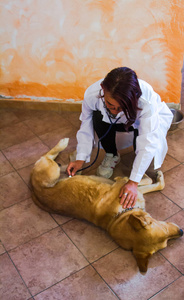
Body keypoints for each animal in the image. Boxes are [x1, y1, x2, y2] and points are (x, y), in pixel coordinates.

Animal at [30, 138, 183, 272]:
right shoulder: (123, 184)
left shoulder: (133, 194)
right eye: (164, 230)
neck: (119, 217)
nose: (181, 232)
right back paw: (64, 145)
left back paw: (76, 158)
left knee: (70, 166)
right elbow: (142, 180)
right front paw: (143, 172)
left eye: (167, 241)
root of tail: (34, 191)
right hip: (52, 170)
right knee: (48, 155)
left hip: (68, 173)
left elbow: (156, 185)